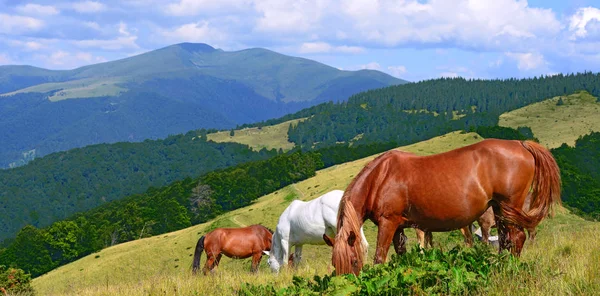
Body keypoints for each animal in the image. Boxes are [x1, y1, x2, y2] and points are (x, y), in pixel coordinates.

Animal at [330, 139, 560, 276]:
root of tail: (521, 144)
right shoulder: (399, 227)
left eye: (353, 261)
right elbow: (402, 254)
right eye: (334, 264)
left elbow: (380, 257)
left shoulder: (388, 223)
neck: (380, 178)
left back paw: (509, 269)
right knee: (506, 240)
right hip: (499, 209)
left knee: (517, 238)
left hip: (509, 207)